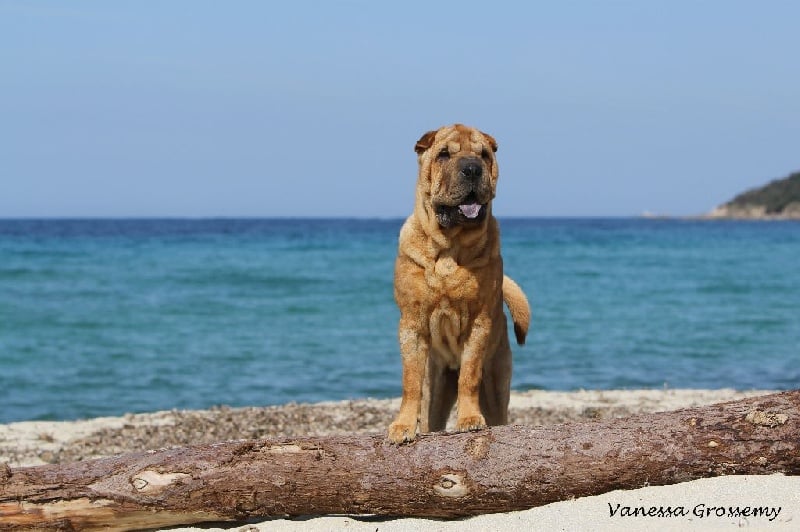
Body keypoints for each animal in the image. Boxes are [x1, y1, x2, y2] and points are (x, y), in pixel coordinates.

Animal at [388, 124, 532, 444]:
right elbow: (409, 381)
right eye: (444, 154)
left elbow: (469, 375)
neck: (449, 248)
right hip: (437, 389)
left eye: (484, 154)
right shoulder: (412, 324)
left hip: (497, 381)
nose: (472, 168)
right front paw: (402, 426)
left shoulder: (478, 323)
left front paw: (469, 419)